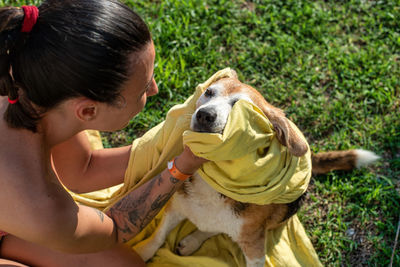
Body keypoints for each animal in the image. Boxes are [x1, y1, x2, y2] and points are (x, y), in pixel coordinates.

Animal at [136, 74, 380, 266]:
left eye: (241, 109)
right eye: (208, 92)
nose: (204, 115)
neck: (214, 186)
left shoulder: (254, 248)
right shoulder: (174, 206)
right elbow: (158, 237)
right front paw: (141, 253)